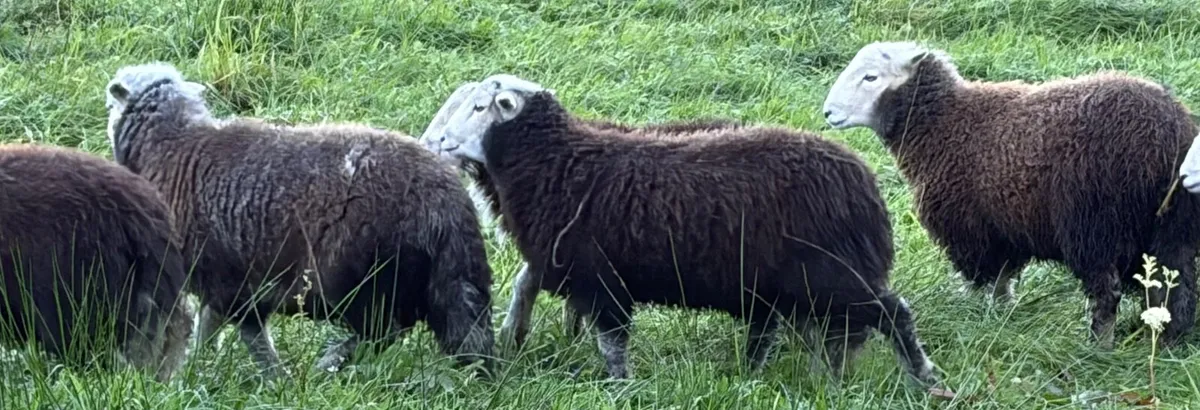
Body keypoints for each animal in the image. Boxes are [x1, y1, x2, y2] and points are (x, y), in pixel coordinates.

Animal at [102, 62, 496, 378]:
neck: (173, 146)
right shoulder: (231, 278)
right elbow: (215, 325)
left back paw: (331, 364)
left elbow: (242, 332)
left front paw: (267, 378)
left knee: (384, 331)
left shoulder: (229, 280)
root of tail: (447, 198)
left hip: (358, 280)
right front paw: (214, 367)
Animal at [422, 74, 940, 385]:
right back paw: (791, 376)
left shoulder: (602, 278)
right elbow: (536, 293)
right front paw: (517, 336)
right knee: (811, 332)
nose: (435, 142)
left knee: (894, 313)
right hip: (797, 283)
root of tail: (862, 181)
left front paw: (620, 386)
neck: (560, 162)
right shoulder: (572, 269)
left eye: (479, 107)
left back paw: (922, 376)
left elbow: (612, 342)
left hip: (830, 275)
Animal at [821, 41, 1200, 348]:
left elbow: (979, 277)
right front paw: (1002, 313)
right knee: (1176, 288)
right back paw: (1169, 341)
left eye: (871, 77)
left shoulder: (968, 228)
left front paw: (968, 310)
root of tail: (1167, 132)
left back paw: (1099, 346)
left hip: (1095, 226)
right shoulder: (1003, 228)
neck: (942, 124)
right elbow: (1003, 277)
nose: (827, 112)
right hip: (1172, 227)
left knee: (1108, 291)